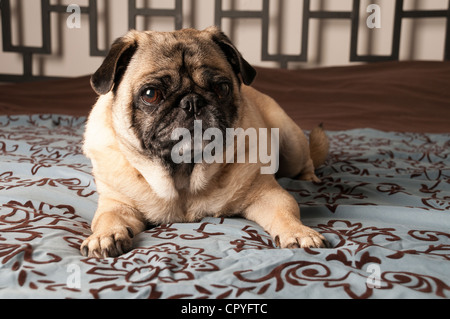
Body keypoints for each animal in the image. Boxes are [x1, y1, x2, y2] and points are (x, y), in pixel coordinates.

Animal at [81, 26, 328, 258]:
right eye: (151, 94)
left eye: (222, 88)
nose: (192, 101)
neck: (184, 177)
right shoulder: (117, 203)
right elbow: (107, 218)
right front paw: (105, 236)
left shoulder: (267, 195)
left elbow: (285, 212)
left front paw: (298, 232)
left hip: (291, 144)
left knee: (305, 161)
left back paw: (309, 177)